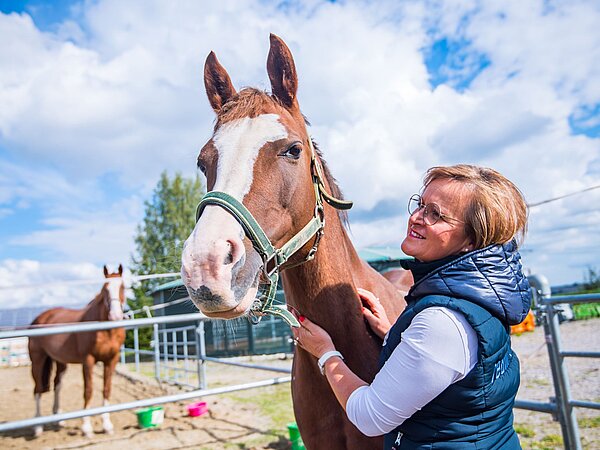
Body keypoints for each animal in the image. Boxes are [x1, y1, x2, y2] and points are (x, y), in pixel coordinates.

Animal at [29, 266, 126, 438]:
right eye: (105, 289)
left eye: (123, 287)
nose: (115, 315)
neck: (106, 331)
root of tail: (40, 318)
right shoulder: (88, 361)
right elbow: (88, 391)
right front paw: (86, 428)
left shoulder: (112, 360)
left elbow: (106, 390)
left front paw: (107, 426)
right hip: (38, 360)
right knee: (38, 390)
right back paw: (37, 427)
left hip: (60, 361)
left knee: (57, 385)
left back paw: (58, 418)